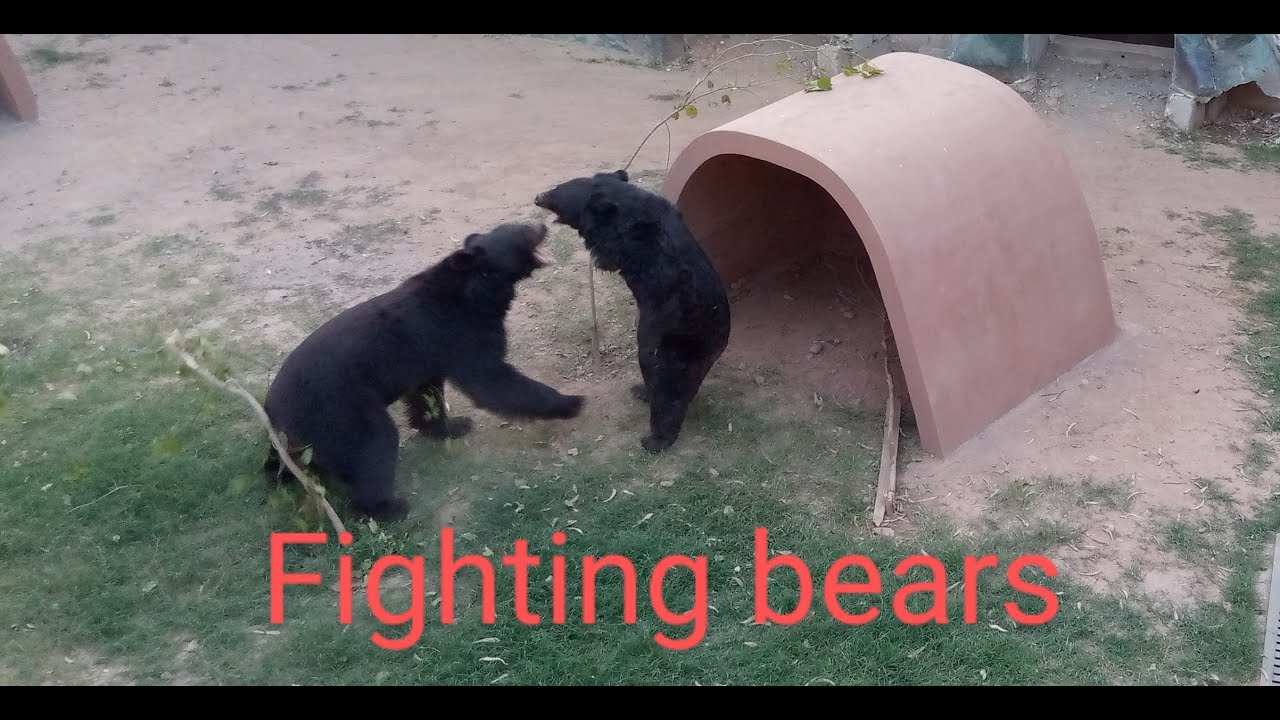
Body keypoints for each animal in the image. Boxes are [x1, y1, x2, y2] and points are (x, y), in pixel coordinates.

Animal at [261, 222, 585, 522]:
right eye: (522, 232)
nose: (542, 224)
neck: (476, 288)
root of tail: (272, 413)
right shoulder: (461, 331)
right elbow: (492, 379)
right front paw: (571, 402)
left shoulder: (429, 355)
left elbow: (427, 393)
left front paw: (450, 426)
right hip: (340, 409)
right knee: (372, 445)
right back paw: (387, 507)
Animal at [533, 169, 730, 453]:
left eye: (556, 192)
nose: (538, 197)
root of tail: (718, 339)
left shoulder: (630, 240)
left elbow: (606, 250)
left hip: (668, 341)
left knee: (663, 385)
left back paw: (656, 437)